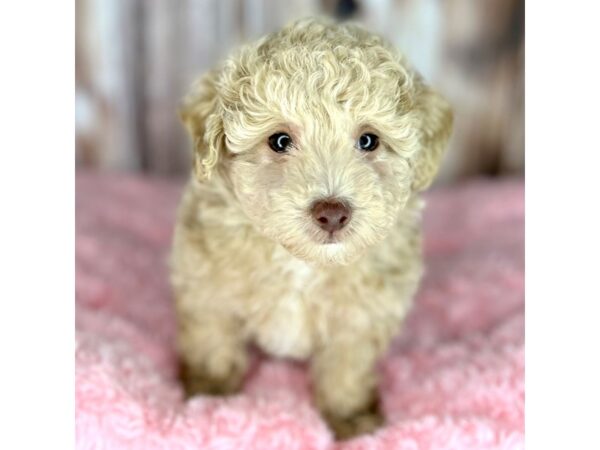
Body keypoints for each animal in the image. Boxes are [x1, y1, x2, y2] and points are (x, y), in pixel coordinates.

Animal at [171, 18, 452, 440]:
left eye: (368, 140)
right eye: (279, 140)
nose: (332, 212)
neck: (303, 263)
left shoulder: (363, 314)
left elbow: (347, 366)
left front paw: (352, 418)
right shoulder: (206, 284)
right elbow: (212, 337)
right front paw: (209, 392)